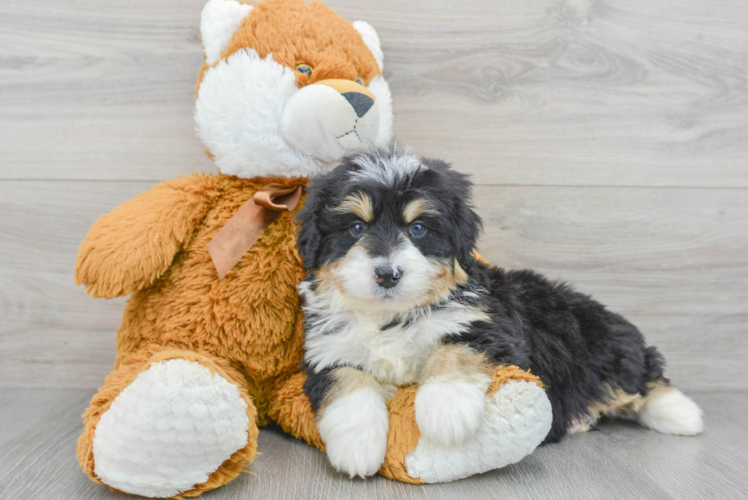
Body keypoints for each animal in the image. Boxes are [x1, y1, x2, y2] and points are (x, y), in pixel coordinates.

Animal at [296, 144, 704, 476]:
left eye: (419, 228)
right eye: (355, 227)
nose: (387, 273)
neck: (393, 316)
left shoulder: (491, 326)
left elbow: (454, 351)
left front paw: (446, 410)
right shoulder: (326, 351)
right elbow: (347, 380)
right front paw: (357, 446)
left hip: (605, 348)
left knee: (644, 376)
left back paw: (683, 415)